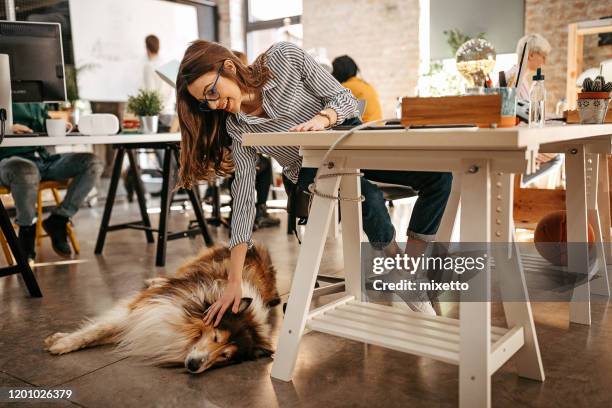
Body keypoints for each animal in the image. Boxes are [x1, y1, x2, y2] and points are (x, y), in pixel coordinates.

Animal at [44, 244, 280, 374]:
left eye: (225, 357)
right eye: (215, 337)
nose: (194, 366)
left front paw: (60, 341)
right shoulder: (144, 308)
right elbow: (97, 330)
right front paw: (62, 342)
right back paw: (154, 280)